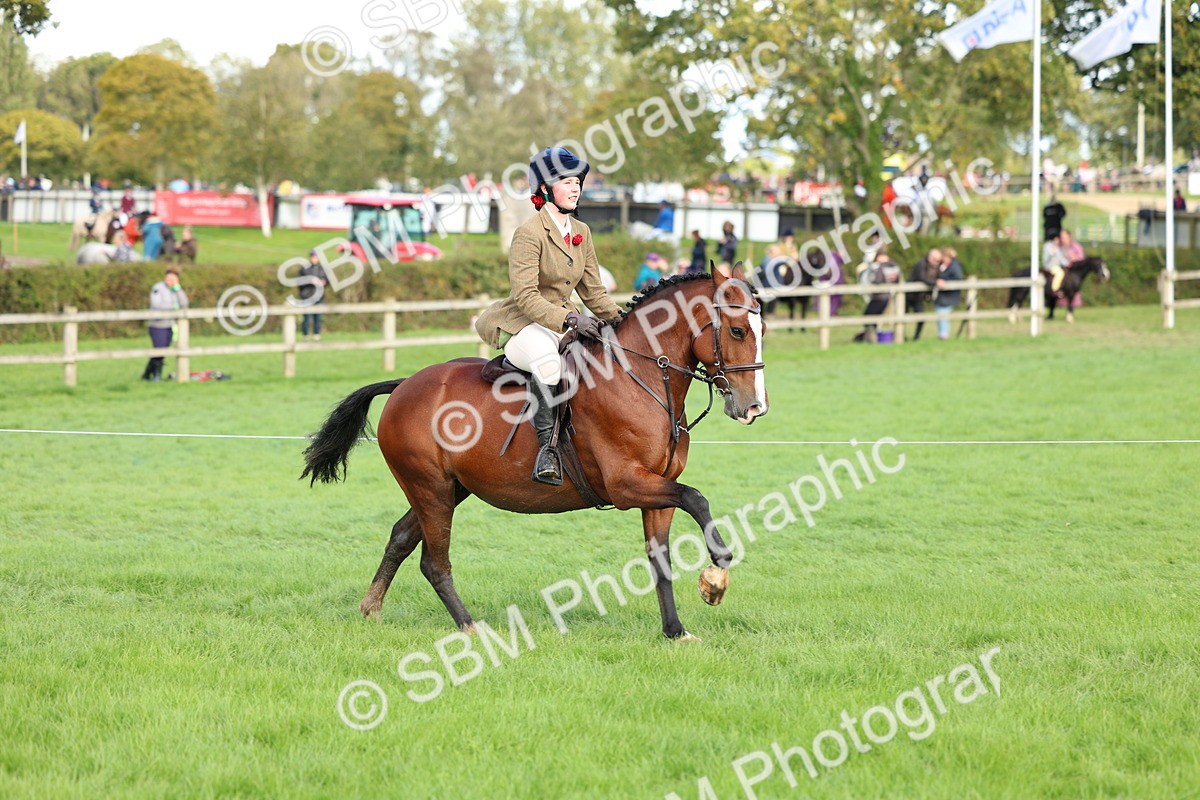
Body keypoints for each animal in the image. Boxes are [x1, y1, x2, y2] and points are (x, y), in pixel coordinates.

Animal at [302, 268, 768, 640]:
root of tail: (404, 385)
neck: (641, 378)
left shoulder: (657, 488)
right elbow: (697, 498)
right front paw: (716, 573)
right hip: (430, 489)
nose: (754, 408)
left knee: (401, 537)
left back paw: (371, 608)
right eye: (737, 331)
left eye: (762, 331)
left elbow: (661, 559)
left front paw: (675, 630)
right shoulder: (626, 486)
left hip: (447, 489)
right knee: (435, 562)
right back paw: (471, 627)